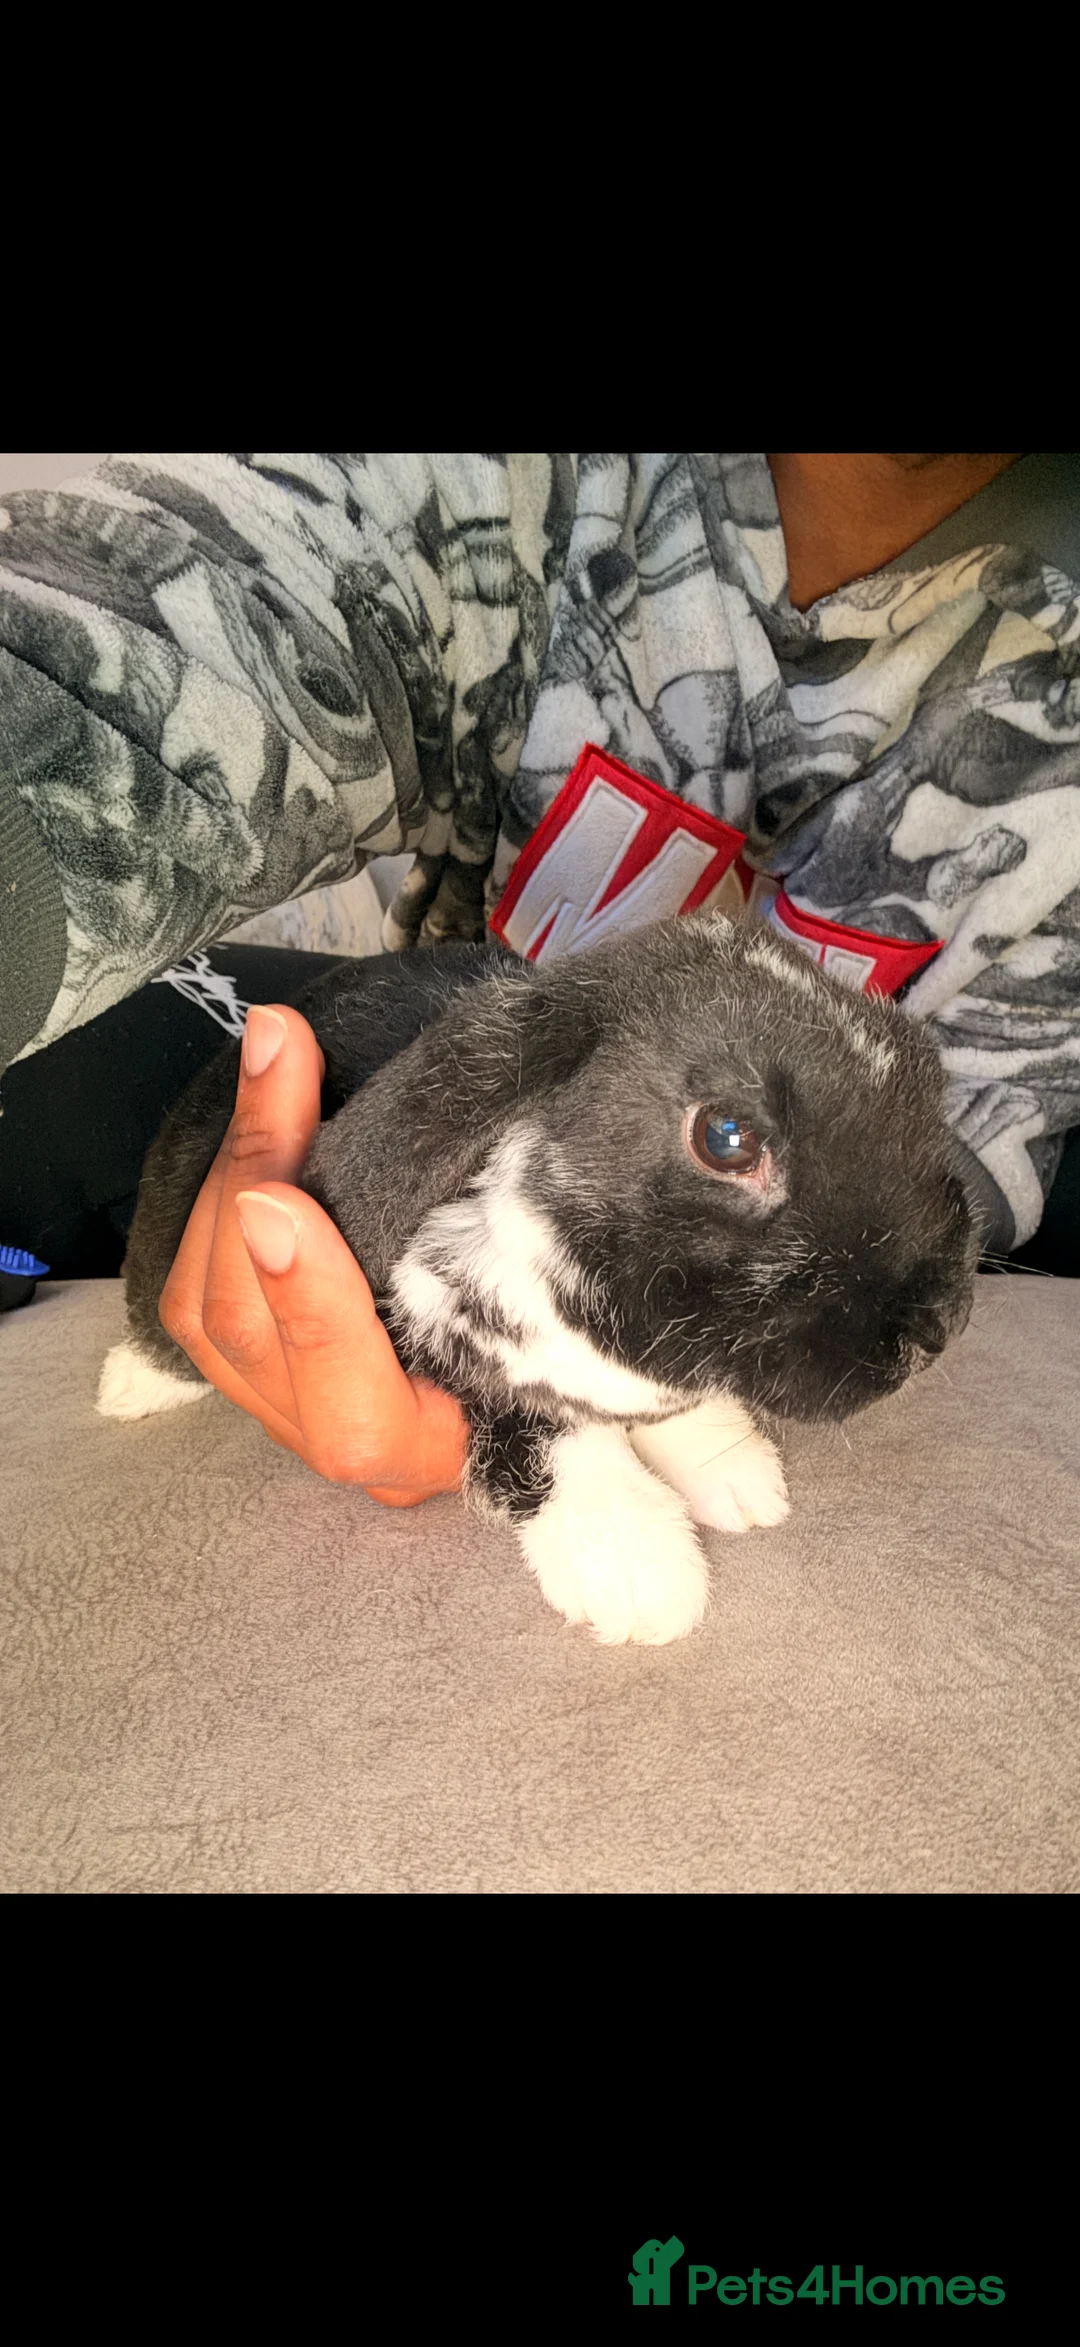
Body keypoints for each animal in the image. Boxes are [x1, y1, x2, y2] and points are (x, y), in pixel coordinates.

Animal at [98, 914, 980, 1645]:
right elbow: (533, 1413)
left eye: (924, 1075)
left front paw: (730, 1467)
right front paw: (635, 1561)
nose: (941, 1327)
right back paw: (130, 1384)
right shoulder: (428, 1322)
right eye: (727, 1136)